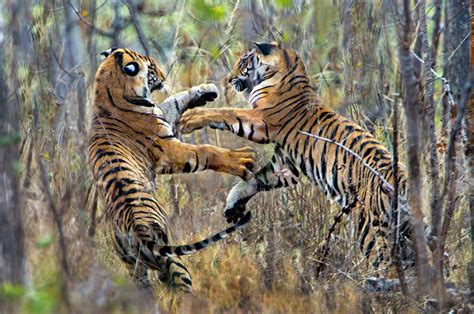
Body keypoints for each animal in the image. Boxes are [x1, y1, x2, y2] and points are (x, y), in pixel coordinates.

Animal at [87, 47, 256, 294]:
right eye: (152, 67)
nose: (164, 76)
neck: (108, 88)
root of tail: (136, 228)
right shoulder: (167, 148)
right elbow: (205, 151)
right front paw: (243, 159)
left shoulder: (162, 118)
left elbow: (174, 100)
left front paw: (206, 91)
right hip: (171, 256)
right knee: (180, 285)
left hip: (134, 267)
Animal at [180, 41, 416, 272]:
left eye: (244, 61)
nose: (229, 79)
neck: (287, 71)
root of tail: (403, 181)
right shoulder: (285, 167)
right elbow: (252, 181)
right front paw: (232, 206)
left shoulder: (260, 122)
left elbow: (225, 112)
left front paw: (188, 118)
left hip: (369, 228)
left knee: (385, 264)